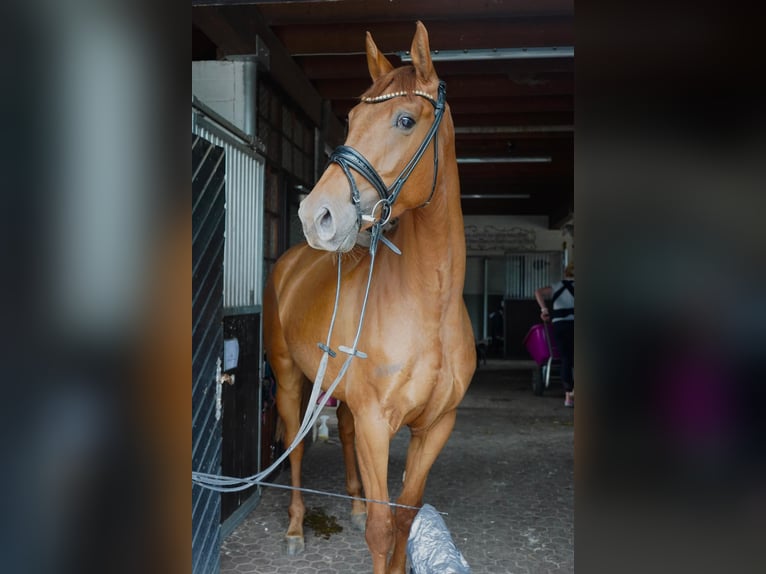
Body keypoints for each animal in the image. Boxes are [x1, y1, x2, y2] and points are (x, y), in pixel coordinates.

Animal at [264, 22, 476, 574]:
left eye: (405, 119)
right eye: (354, 119)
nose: (316, 214)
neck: (431, 306)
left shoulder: (434, 427)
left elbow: (404, 518)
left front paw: (372, 512)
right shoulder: (378, 425)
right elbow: (382, 531)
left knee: (342, 432)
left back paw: (354, 503)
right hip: (291, 379)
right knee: (294, 450)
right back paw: (294, 528)